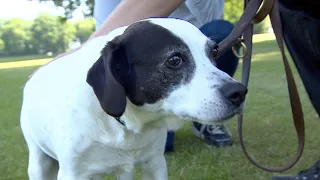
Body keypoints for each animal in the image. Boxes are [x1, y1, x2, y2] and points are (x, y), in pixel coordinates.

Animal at [20, 17, 246, 179]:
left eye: (214, 52)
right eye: (174, 60)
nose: (240, 92)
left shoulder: (154, 163)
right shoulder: (74, 173)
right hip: (38, 162)